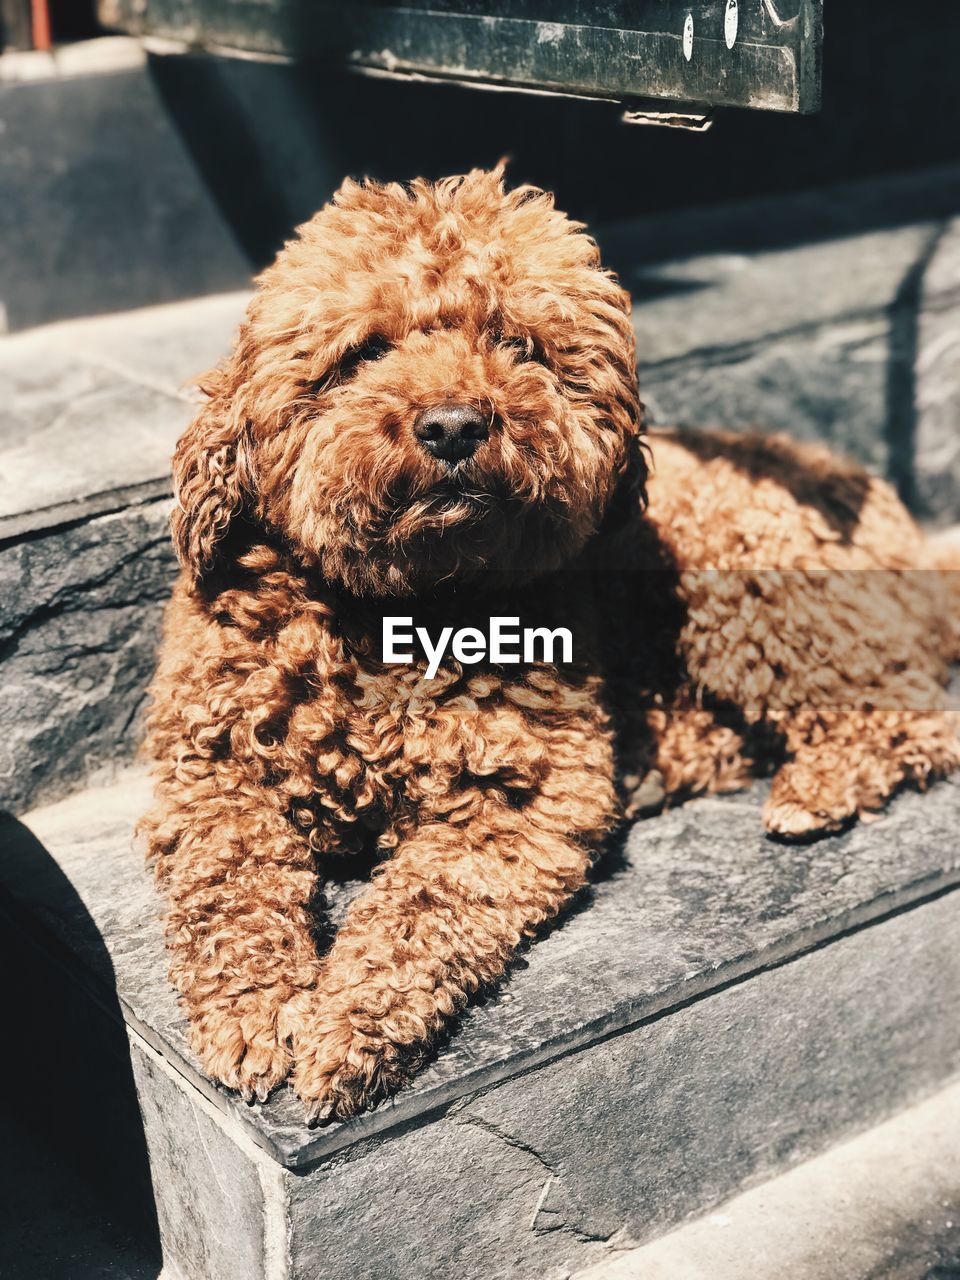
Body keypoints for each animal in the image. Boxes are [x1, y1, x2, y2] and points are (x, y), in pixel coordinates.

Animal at [142, 167, 960, 1121]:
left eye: (515, 343)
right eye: (363, 352)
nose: (454, 424)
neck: (398, 609)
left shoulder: (522, 795)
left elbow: (421, 907)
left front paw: (347, 1024)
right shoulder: (211, 771)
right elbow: (225, 886)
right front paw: (253, 1012)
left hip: (747, 576)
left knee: (910, 714)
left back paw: (812, 791)